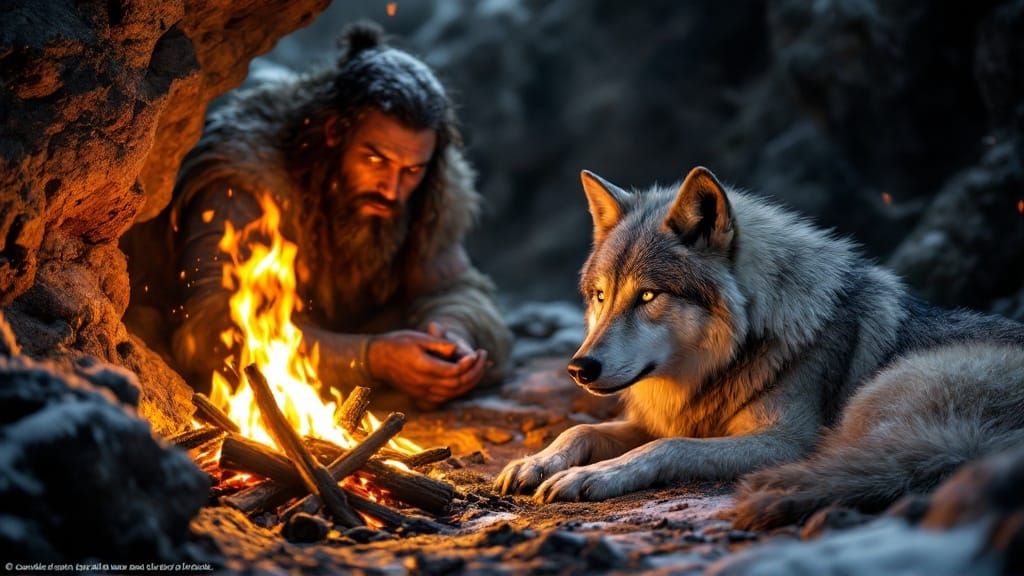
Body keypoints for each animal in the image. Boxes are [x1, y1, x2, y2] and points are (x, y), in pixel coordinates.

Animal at [494, 166, 1024, 530]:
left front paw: (596, 476)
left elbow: (668, 446)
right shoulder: (667, 418)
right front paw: (535, 462)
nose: (579, 368)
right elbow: (581, 428)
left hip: (885, 391)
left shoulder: (781, 439)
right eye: (601, 296)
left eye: (647, 296)